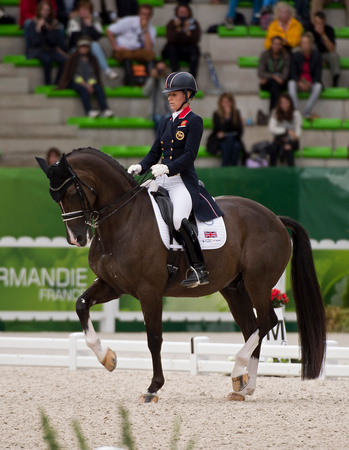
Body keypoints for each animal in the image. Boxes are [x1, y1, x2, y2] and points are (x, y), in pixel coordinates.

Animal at [37, 149, 326, 402]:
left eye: (71, 192)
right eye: (54, 197)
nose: (76, 238)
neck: (125, 219)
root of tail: (275, 218)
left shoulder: (149, 291)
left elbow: (154, 338)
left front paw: (153, 388)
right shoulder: (113, 285)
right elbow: (81, 305)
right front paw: (107, 358)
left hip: (259, 283)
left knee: (267, 321)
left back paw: (238, 371)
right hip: (234, 288)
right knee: (252, 328)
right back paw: (244, 386)